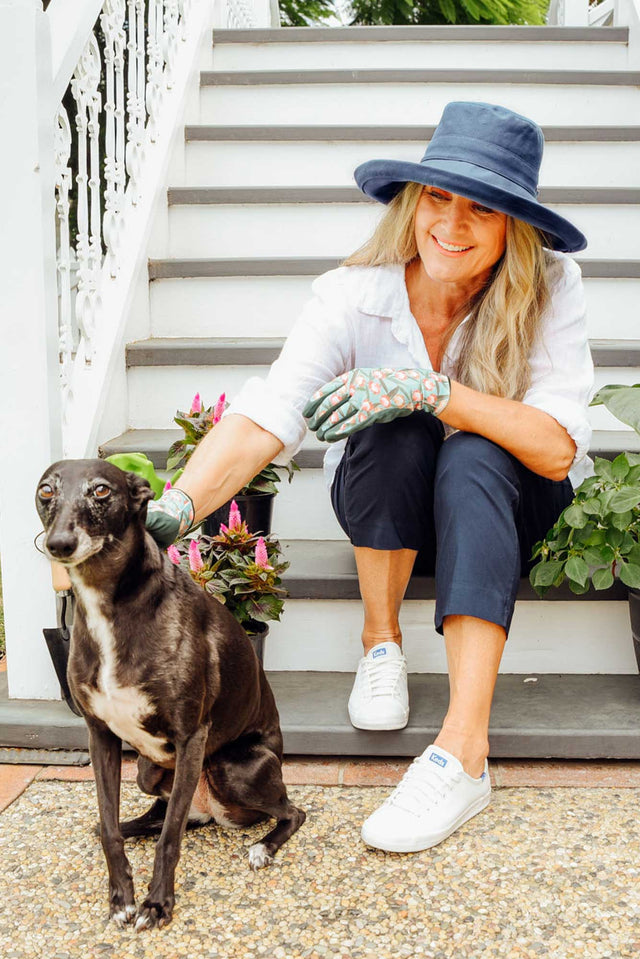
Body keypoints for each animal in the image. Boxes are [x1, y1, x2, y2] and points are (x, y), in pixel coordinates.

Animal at [35, 458, 304, 928]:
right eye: (46, 491)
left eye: (102, 490)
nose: (59, 544)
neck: (109, 604)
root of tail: (212, 812)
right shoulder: (99, 735)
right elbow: (108, 828)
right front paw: (121, 897)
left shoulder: (190, 737)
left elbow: (169, 840)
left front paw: (157, 903)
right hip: (148, 772)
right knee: (149, 818)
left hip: (233, 768)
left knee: (291, 812)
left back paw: (262, 847)